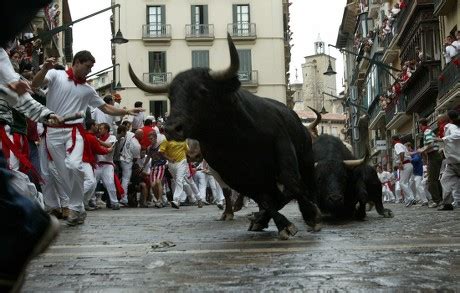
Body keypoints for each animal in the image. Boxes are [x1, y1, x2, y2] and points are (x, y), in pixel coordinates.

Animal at [128, 33, 324, 238]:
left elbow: (291, 184)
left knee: (304, 185)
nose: (172, 127)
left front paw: (311, 215)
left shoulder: (282, 148)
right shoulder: (232, 174)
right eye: (170, 97)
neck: (235, 137)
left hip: (306, 160)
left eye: (202, 91)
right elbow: (264, 198)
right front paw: (279, 223)